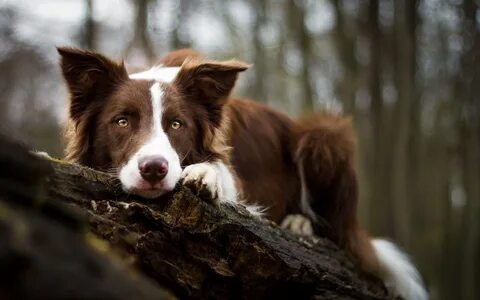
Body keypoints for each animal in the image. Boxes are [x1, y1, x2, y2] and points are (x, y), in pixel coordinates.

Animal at [57, 47, 428, 300]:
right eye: (122, 121)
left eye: (177, 124)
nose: (154, 169)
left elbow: (220, 171)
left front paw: (205, 175)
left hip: (324, 134)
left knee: (337, 232)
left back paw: (300, 223)